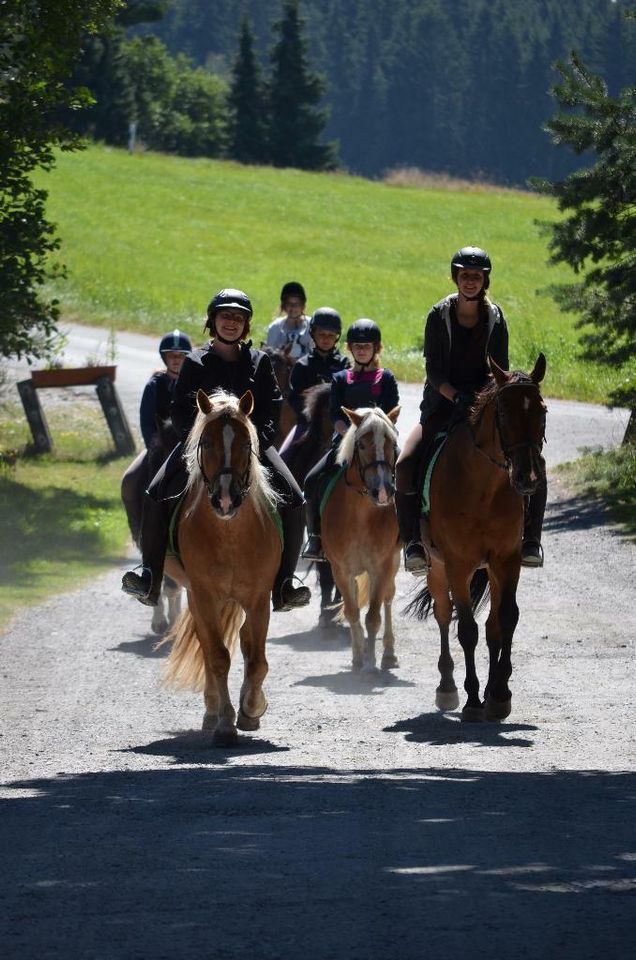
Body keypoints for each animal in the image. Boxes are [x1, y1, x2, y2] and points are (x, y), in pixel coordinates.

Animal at [163, 386, 282, 748]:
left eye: (245, 444)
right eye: (207, 442)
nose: (226, 500)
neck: (229, 534)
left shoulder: (258, 598)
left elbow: (256, 659)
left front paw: (251, 709)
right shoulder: (204, 596)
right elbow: (217, 657)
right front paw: (225, 724)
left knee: (244, 641)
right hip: (200, 598)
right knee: (208, 647)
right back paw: (213, 710)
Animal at [320, 406, 400, 676]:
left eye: (392, 443)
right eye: (362, 444)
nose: (383, 491)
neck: (360, 514)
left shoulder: (381, 567)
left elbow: (373, 616)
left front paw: (371, 665)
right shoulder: (341, 570)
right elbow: (352, 611)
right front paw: (358, 658)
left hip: (392, 565)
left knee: (387, 598)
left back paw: (388, 654)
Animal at [410, 352, 548, 720]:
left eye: (542, 411)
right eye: (503, 414)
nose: (528, 478)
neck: (483, 486)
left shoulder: (506, 560)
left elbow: (506, 621)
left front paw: (499, 694)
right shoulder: (458, 564)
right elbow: (466, 630)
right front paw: (473, 699)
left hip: (490, 570)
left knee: (492, 627)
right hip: (436, 567)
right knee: (444, 615)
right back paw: (447, 688)